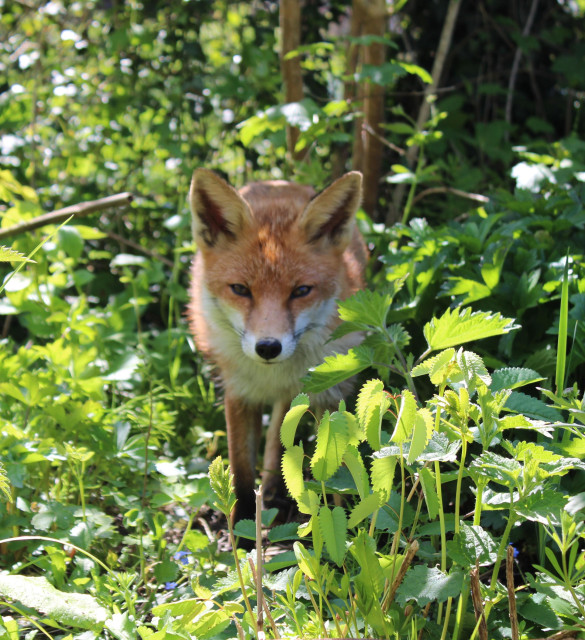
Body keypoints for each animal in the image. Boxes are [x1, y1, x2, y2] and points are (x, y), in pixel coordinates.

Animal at [187, 168, 364, 528]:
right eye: (240, 289)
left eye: (301, 291)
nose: (268, 347)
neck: (272, 376)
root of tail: (278, 183)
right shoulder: (238, 392)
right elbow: (241, 470)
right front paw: (241, 527)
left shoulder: (322, 395)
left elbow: (331, 472)